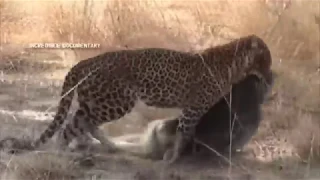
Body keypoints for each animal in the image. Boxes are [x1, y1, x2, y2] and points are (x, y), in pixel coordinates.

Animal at [2, 34, 272, 165]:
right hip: (115, 102)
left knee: (82, 123)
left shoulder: (192, 109)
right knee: (70, 126)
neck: (234, 63)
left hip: (96, 101)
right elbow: (184, 134)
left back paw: (102, 146)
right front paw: (171, 159)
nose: (271, 74)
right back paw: (64, 153)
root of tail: (84, 62)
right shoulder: (192, 109)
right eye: (266, 59)